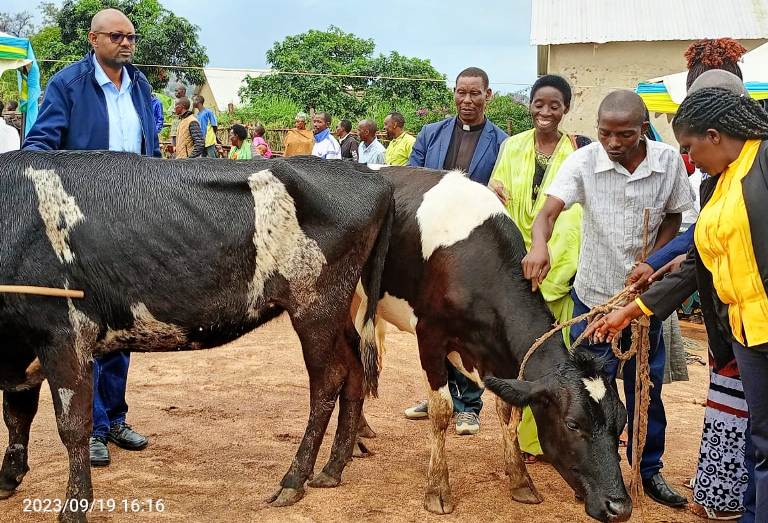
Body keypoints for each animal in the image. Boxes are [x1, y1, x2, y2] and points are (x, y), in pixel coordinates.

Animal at [0, 150, 392, 520]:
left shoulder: (64, 333)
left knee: (329, 380)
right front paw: (8, 478)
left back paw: (294, 479)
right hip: (340, 312)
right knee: (355, 371)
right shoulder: (21, 346)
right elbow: (16, 415)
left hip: (315, 308)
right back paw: (333, 467)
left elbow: (72, 427)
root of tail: (365, 174)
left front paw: (75, 507)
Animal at [354, 167, 632, 523]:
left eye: (621, 422)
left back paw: (361, 429)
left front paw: (521, 481)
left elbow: (509, 413)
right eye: (573, 424)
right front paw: (438, 490)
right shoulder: (429, 334)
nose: (620, 507)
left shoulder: (504, 360)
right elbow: (441, 411)